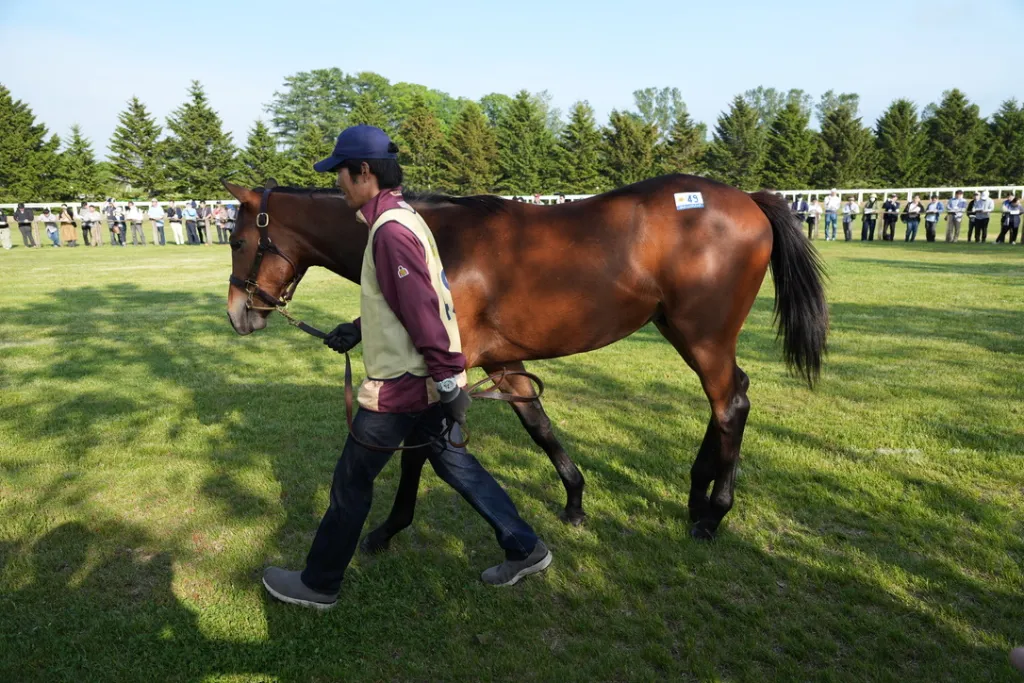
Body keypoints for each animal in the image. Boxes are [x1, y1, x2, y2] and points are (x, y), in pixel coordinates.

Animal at [224, 174, 828, 545]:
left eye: (235, 240)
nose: (238, 312)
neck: (429, 240)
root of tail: (748, 198)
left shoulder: (445, 369)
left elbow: (418, 452)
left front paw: (388, 528)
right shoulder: (502, 365)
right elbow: (540, 428)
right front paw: (576, 500)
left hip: (703, 335)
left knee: (730, 405)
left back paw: (714, 511)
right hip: (682, 330)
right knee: (730, 397)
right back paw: (698, 494)